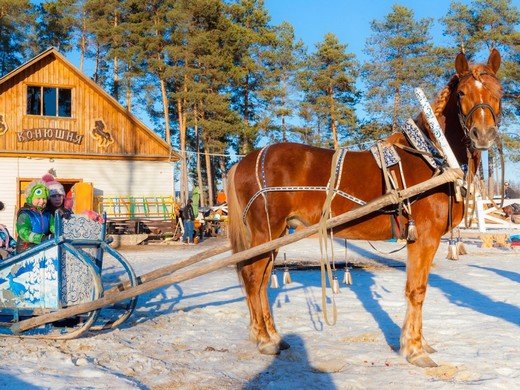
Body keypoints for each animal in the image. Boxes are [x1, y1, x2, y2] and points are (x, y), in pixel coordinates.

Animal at [228, 50, 504, 368]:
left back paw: (272, 336)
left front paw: (420, 343)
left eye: (499, 92)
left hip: (277, 234)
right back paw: (264, 340)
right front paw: (414, 349)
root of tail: (244, 161)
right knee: (253, 278)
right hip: (267, 232)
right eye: (462, 93)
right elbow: (417, 290)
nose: (483, 134)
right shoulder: (424, 237)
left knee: (261, 281)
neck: (433, 157)